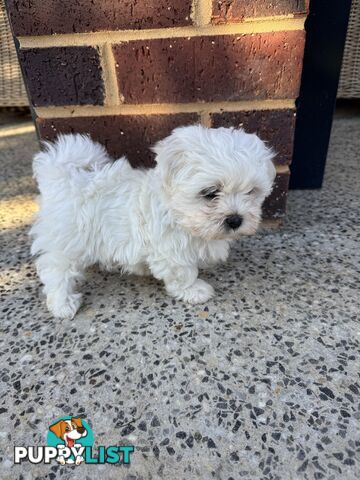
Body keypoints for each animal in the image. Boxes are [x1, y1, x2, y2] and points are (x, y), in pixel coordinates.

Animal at [31, 125, 276, 316]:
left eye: (251, 192)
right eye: (210, 193)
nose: (235, 220)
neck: (178, 212)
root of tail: (64, 178)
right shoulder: (172, 250)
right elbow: (184, 272)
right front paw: (194, 290)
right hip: (68, 243)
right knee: (55, 270)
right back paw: (62, 304)